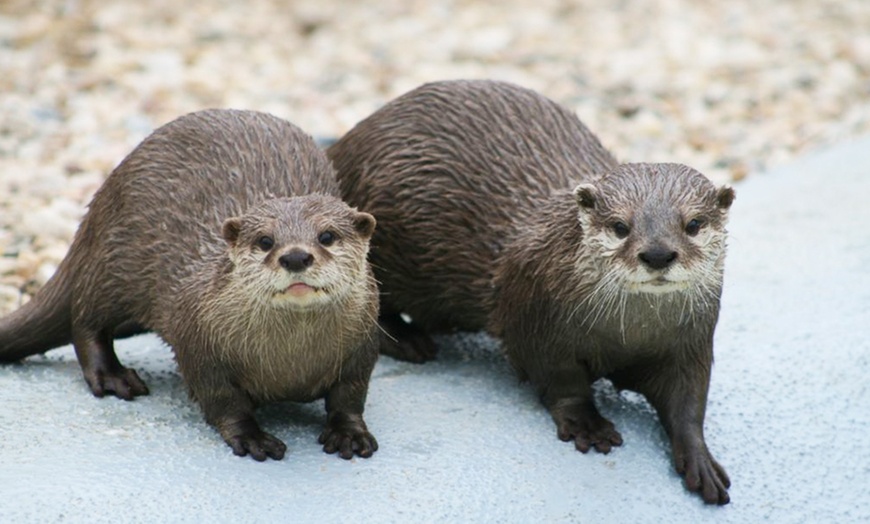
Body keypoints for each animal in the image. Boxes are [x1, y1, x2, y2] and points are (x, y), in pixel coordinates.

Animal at [0, 108, 382, 460]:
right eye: (265, 241)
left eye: (327, 236)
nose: (296, 257)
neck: (291, 361)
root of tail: (101, 199)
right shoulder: (198, 344)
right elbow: (222, 400)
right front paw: (251, 436)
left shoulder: (362, 345)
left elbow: (350, 395)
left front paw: (349, 432)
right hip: (112, 262)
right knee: (85, 318)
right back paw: (113, 376)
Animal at [328, 81, 736, 504]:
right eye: (620, 226)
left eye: (693, 224)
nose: (657, 253)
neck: (628, 337)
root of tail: (344, 145)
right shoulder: (536, 318)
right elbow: (560, 379)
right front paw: (588, 423)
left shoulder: (690, 342)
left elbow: (688, 402)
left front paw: (701, 460)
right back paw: (410, 340)